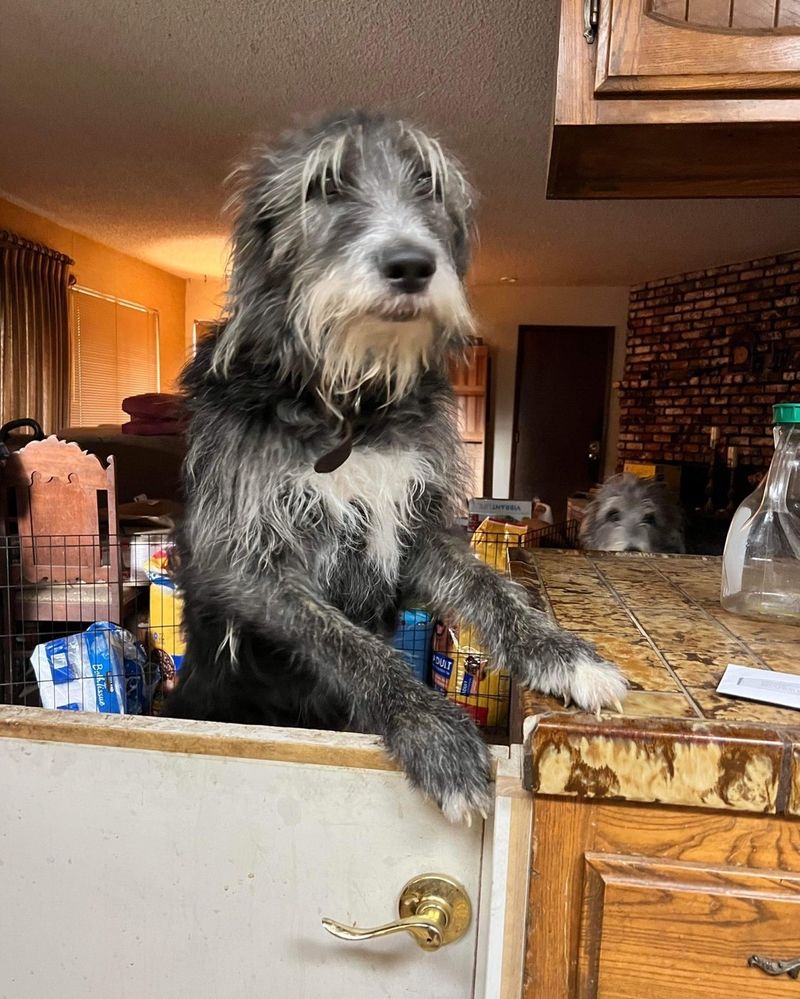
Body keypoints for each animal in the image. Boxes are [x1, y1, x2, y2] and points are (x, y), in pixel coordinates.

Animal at [170, 113, 632, 824]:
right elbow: (348, 643)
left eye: (428, 184)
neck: (348, 407)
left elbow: (491, 590)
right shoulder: (243, 558)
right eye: (325, 185)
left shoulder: (419, 530)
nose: (413, 264)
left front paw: (561, 654)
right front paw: (432, 730)